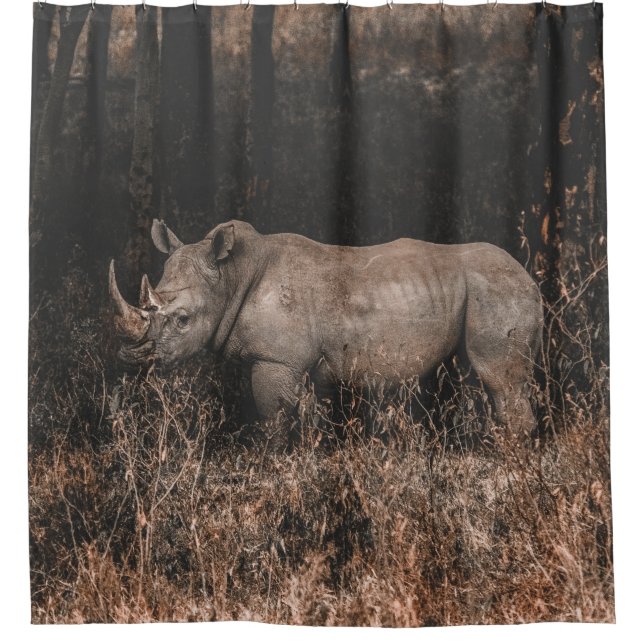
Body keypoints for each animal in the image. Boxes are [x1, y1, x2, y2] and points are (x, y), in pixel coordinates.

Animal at [109, 219, 543, 434]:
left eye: (183, 320)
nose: (131, 358)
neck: (231, 275)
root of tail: (529, 277)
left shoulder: (277, 360)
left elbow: (274, 418)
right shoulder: (294, 362)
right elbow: (306, 417)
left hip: (497, 290)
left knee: (498, 378)